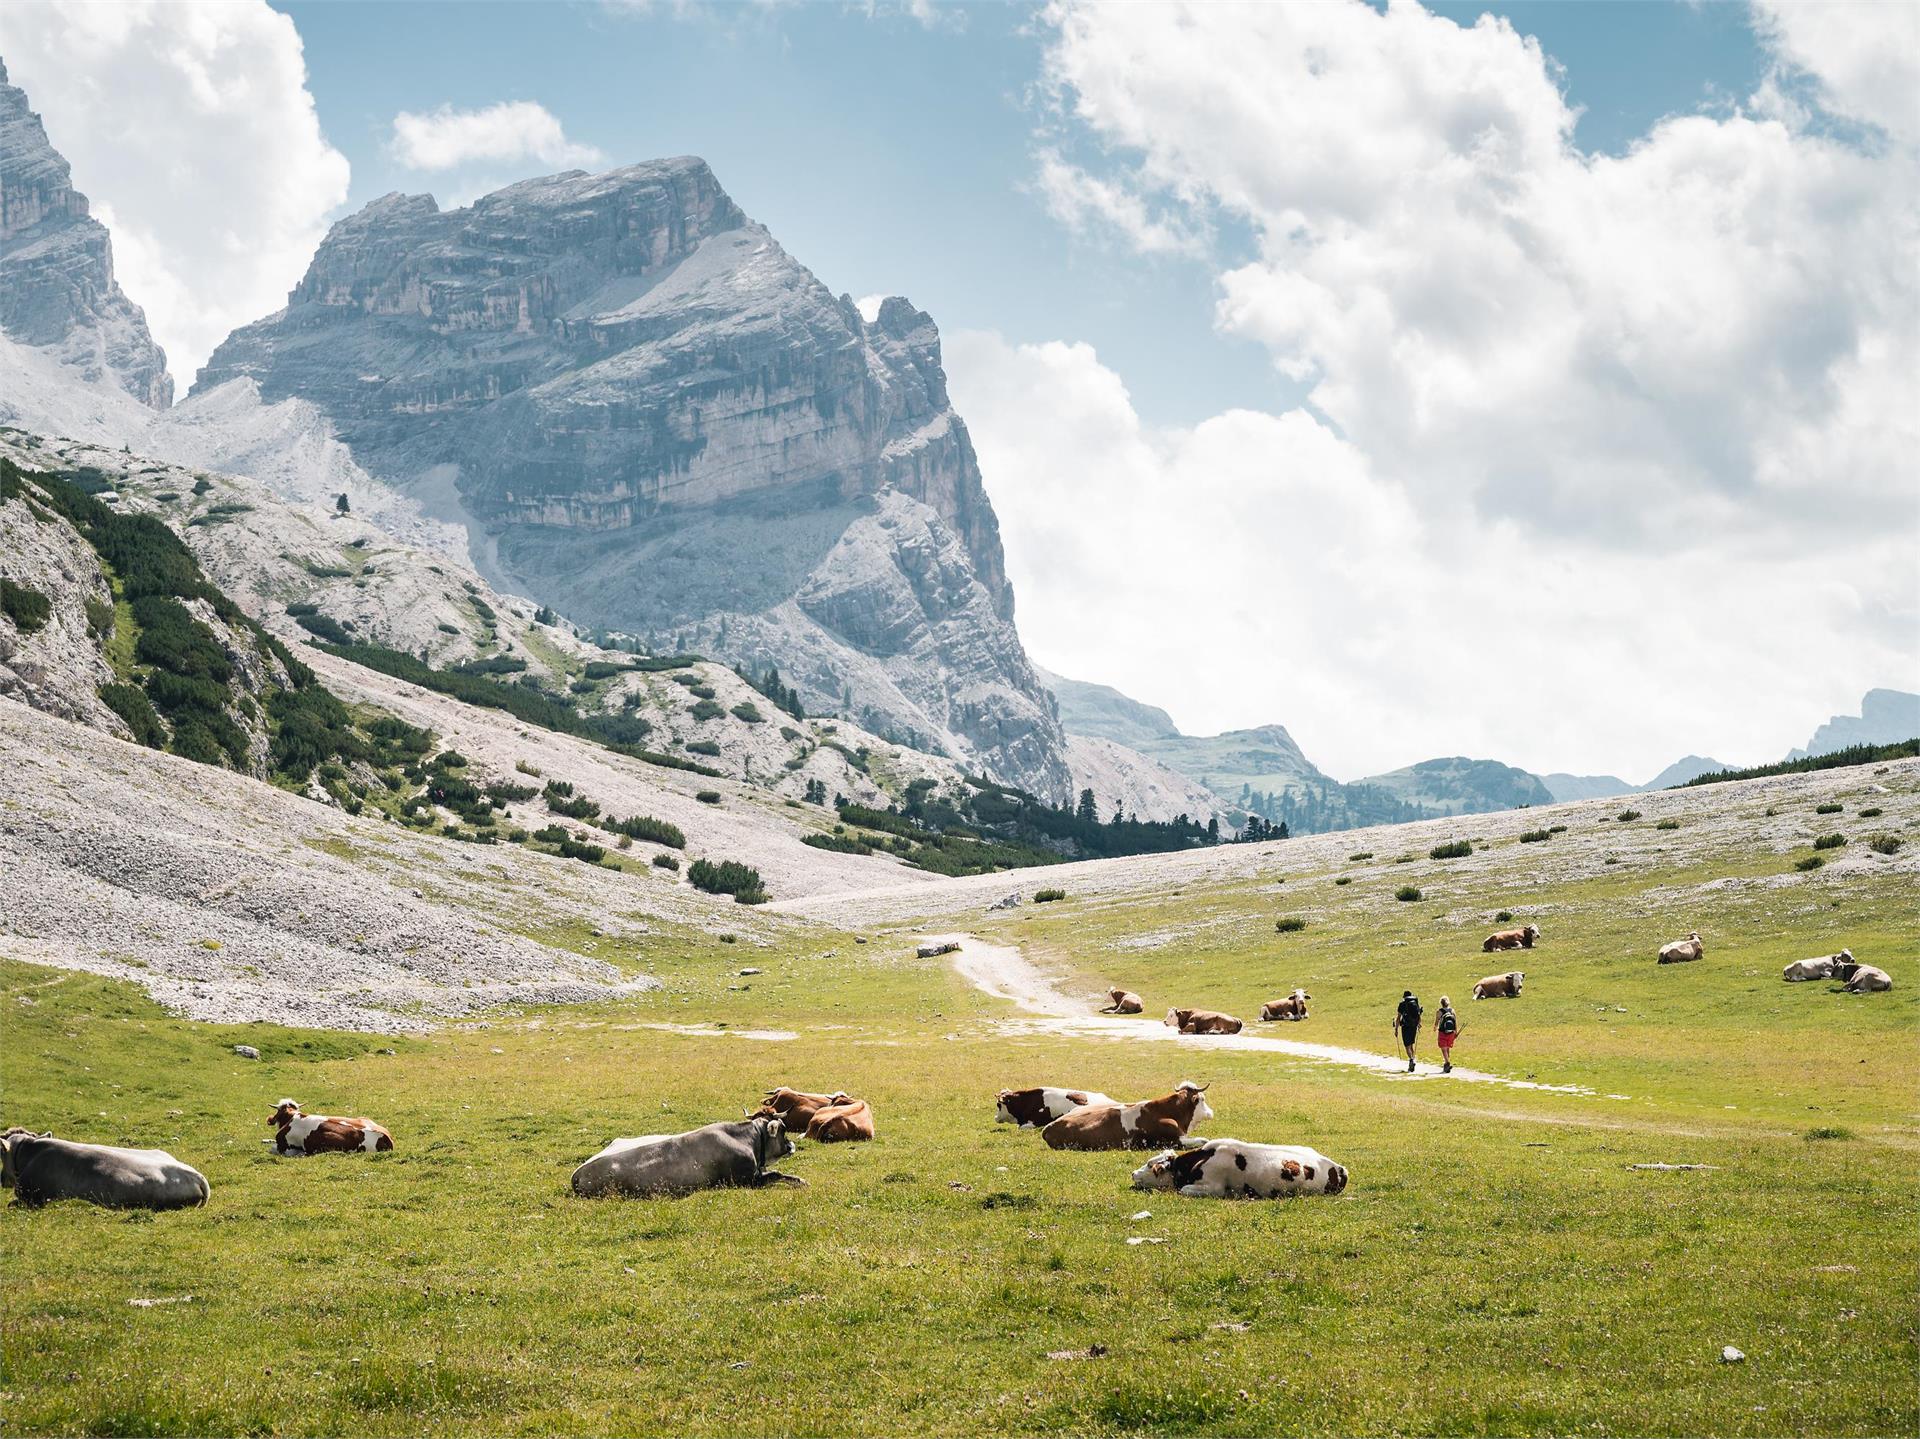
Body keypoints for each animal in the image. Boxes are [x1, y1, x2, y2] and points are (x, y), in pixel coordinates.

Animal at [568, 1114, 810, 1198]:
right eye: (783, 1130)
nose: (792, 1145)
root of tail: (577, 1174)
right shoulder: (747, 1180)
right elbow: (777, 1174)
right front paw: (801, 1181)